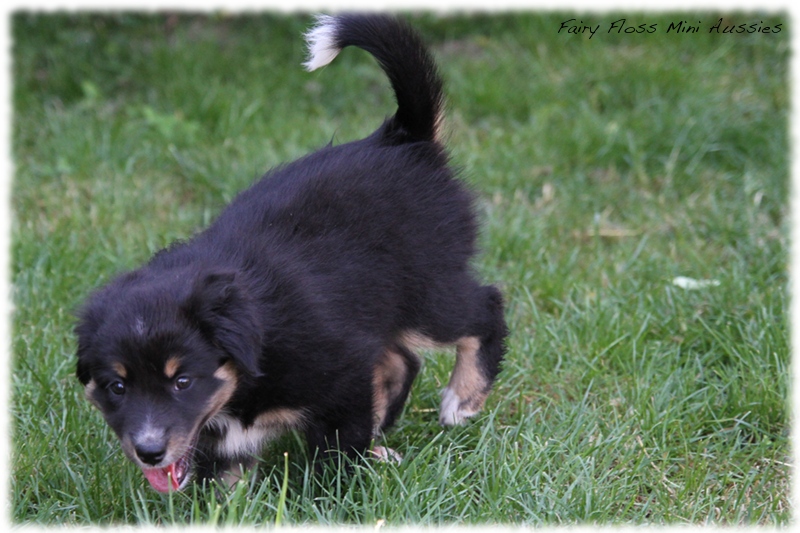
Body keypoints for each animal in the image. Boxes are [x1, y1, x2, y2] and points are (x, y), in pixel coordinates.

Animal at [78, 13, 510, 494]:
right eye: (116, 387)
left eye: (182, 381)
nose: (149, 452)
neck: (249, 362)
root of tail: (402, 138)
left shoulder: (341, 370)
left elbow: (338, 448)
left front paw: (336, 495)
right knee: (402, 358)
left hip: (427, 289)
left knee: (484, 308)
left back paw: (461, 401)